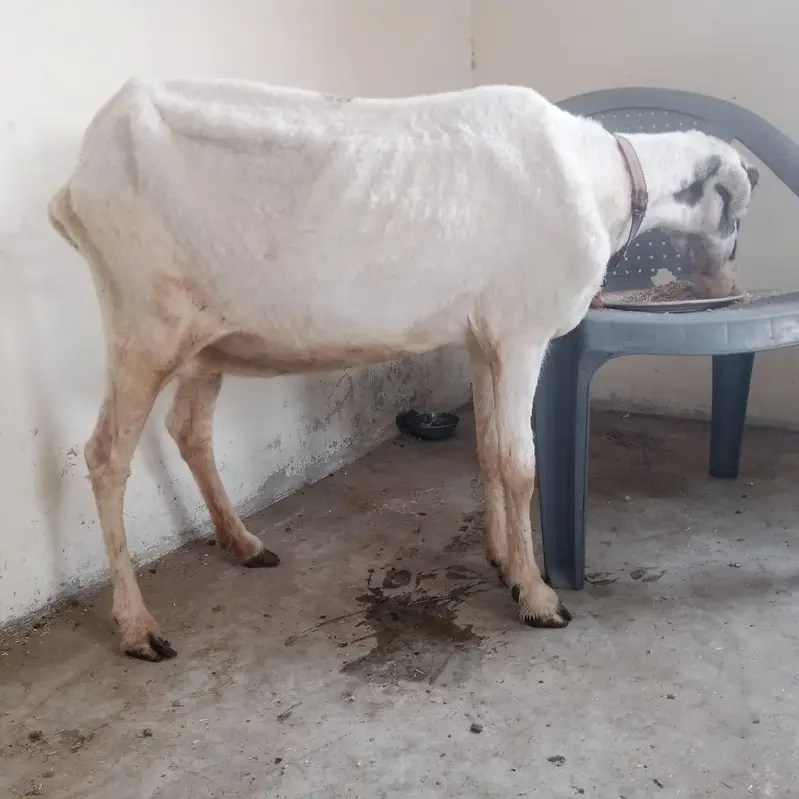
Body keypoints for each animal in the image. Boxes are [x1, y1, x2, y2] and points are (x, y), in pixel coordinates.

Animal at [48, 78, 758, 661]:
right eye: (738, 210)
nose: (727, 285)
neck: (596, 178)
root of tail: (77, 177)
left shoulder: (482, 338)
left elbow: (488, 451)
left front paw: (503, 562)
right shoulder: (522, 332)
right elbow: (520, 464)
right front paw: (538, 597)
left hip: (204, 339)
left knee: (189, 429)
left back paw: (244, 544)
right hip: (143, 324)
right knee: (105, 454)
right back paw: (138, 628)